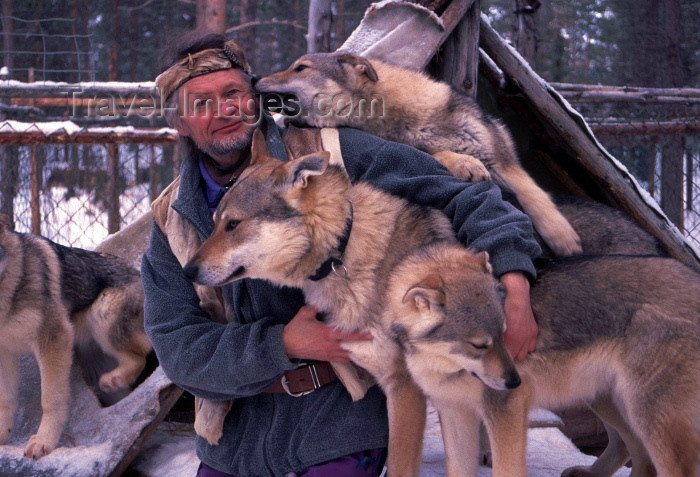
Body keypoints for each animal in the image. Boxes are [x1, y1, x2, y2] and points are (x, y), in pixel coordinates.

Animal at [0, 216, 152, 458]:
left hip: (101, 315)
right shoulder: (4, 352)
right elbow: (6, 401)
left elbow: (50, 399)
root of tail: (138, 274)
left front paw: (44, 441)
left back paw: (114, 379)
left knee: (142, 355)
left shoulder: (54, 339)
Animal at [254, 52, 584, 256]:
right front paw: (465, 162)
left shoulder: (502, 158)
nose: (255, 79)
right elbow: (441, 154)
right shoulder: (417, 148)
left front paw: (562, 237)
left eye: (300, 68)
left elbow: (534, 195)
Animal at [394, 249, 700, 476]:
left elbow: (506, 470)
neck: (446, 366)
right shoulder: (454, 413)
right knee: (635, 454)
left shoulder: (506, 412)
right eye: (480, 345)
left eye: (506, 334)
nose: (515, 381)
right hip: (608, 399)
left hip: (645, 413)